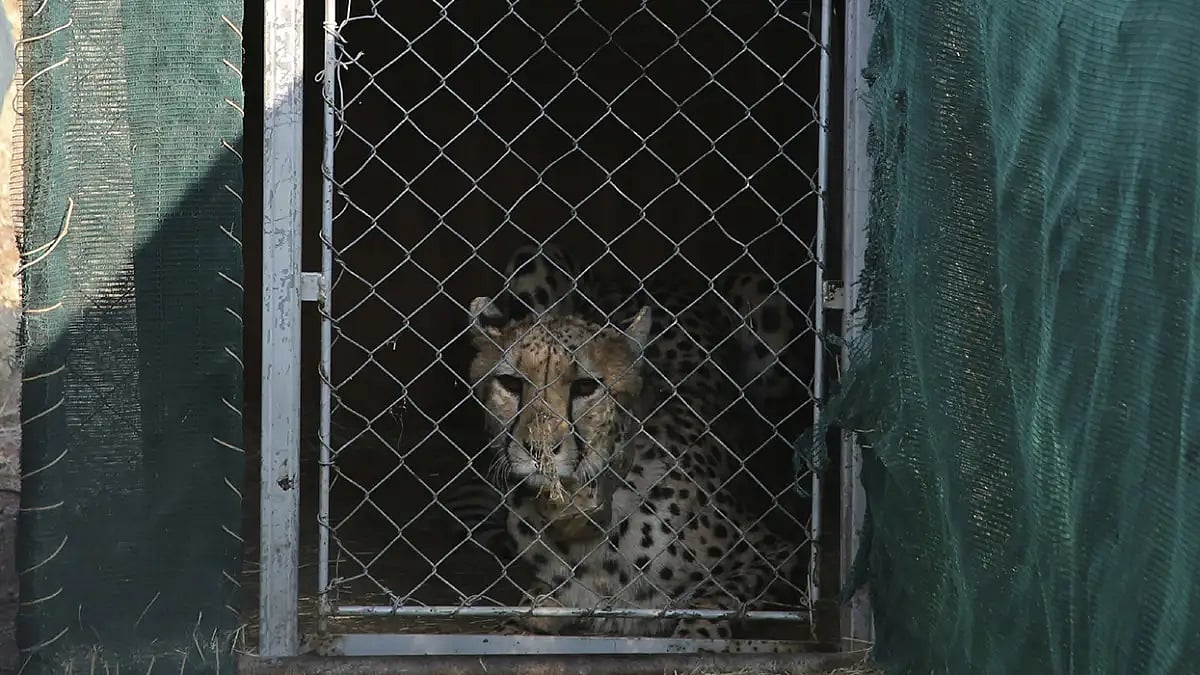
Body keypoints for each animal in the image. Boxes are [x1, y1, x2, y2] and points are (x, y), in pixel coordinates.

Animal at [462, 242, 809, 643]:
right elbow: (522, 616)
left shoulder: (772, 554)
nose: (539, 451)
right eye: (511, 384)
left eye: (585, 387)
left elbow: (709, 607)